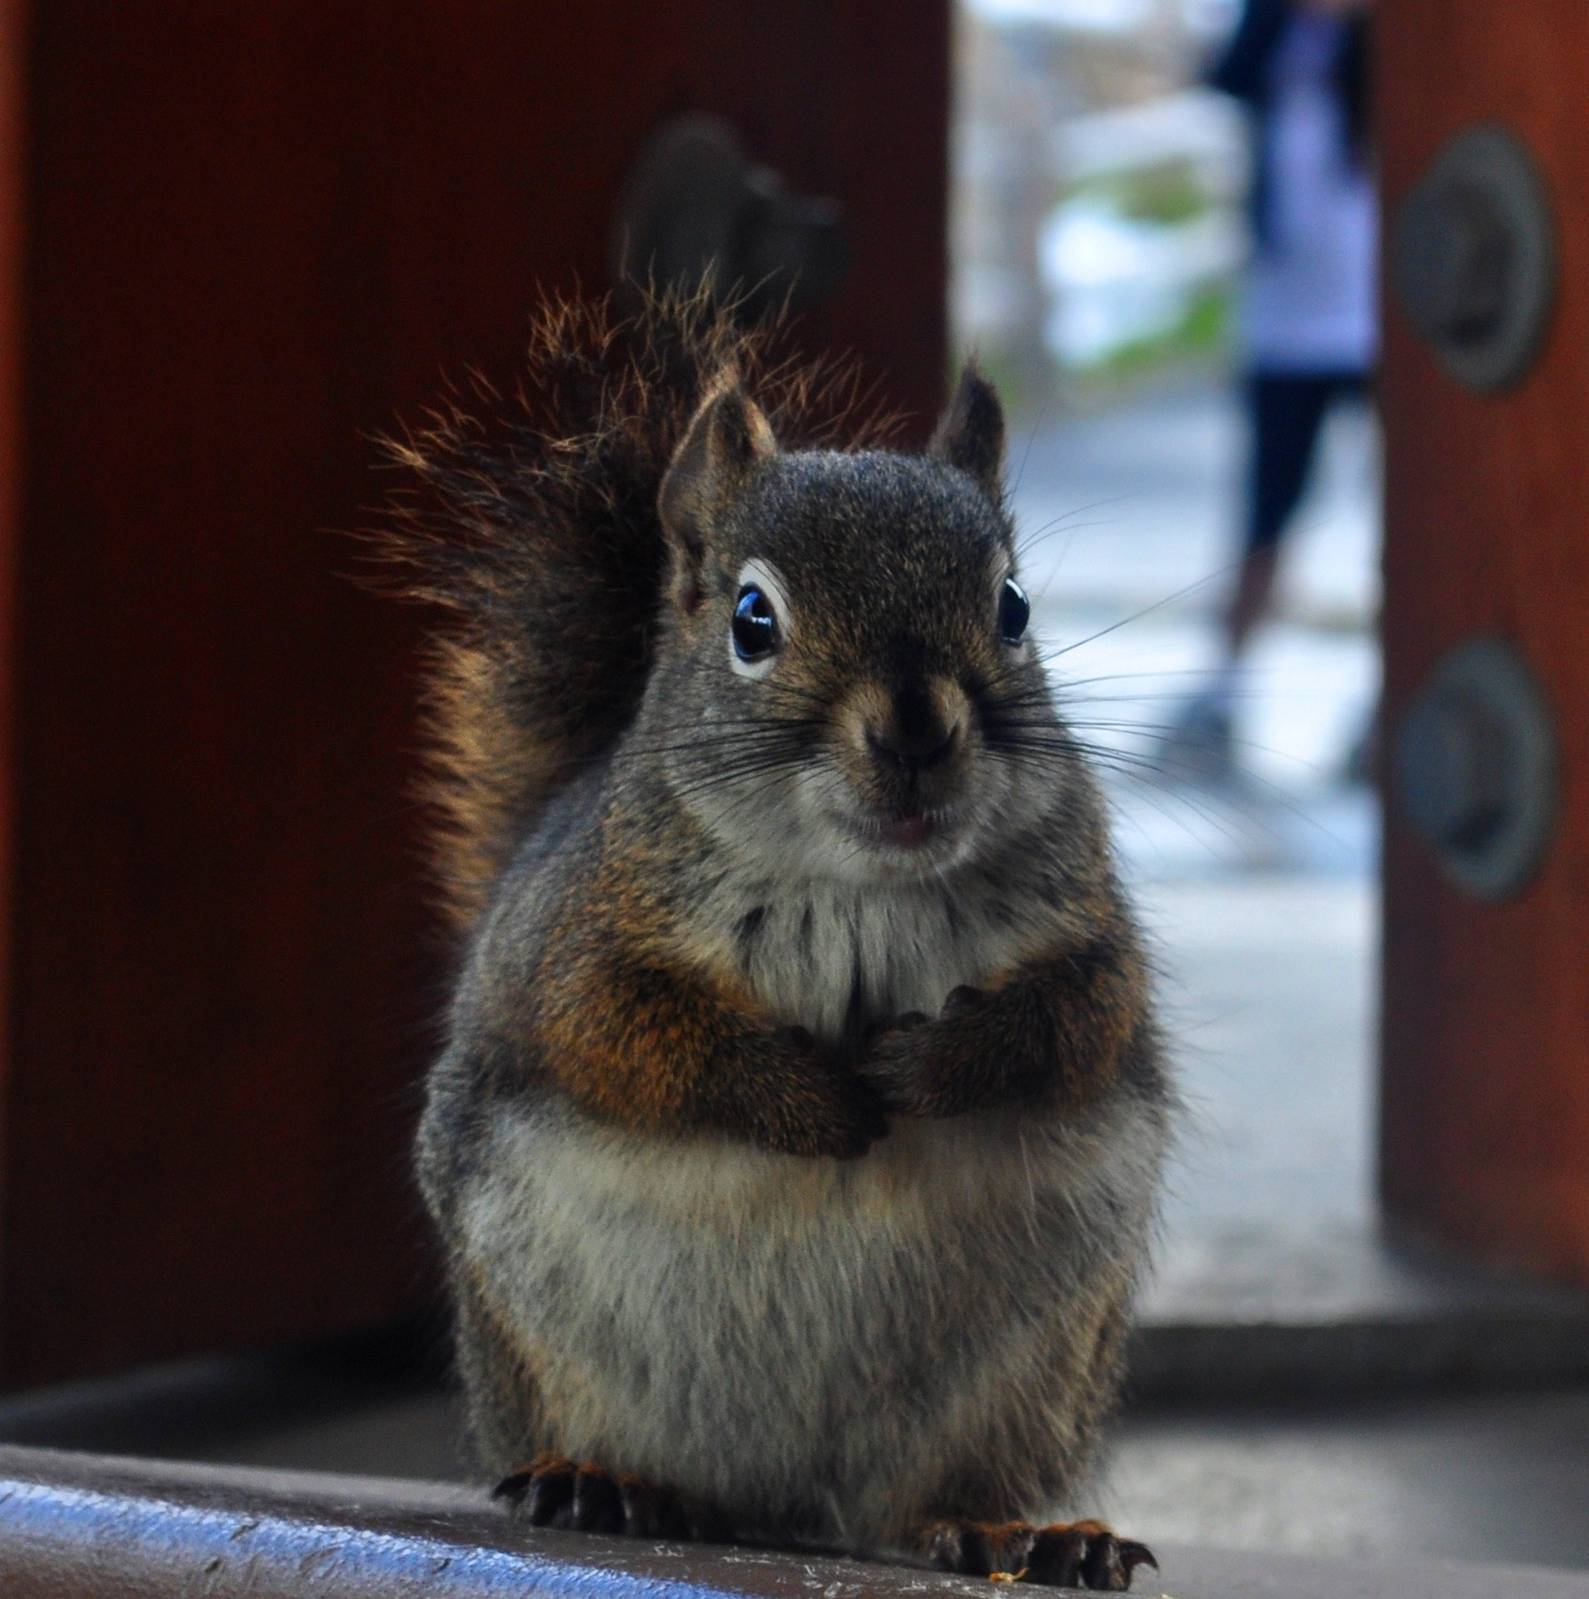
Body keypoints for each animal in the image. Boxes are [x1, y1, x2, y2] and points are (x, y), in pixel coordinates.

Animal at [383, 289, 1173, 1592]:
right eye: (753, 620)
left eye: (1011, 607)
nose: (914, 731)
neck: (861, 884)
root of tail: (788, 1513)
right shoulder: (578, 938)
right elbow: (620, 1036)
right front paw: (806, 1101)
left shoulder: (1090, 927)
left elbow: (1073, 1021)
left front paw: (928, 1065)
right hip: (534, 1346)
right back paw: (595, 1480)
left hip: (1029, 1379)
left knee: (939, 1497)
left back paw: (1013, 1532)